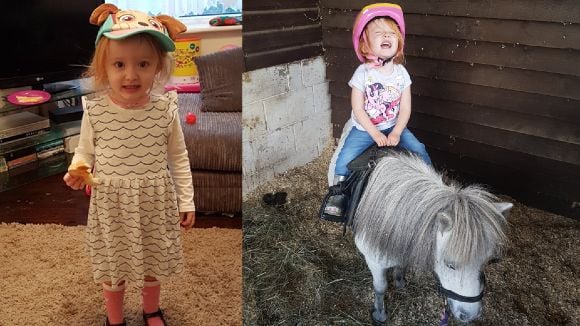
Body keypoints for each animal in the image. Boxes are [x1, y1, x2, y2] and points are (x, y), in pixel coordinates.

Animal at [348, 152, 512, 324]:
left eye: (487, 262)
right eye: (450, 265)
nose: (470, 316)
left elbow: (400, 266)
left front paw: (399, 281)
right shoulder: (374, 262)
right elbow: (380, 288)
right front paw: (379, 314)